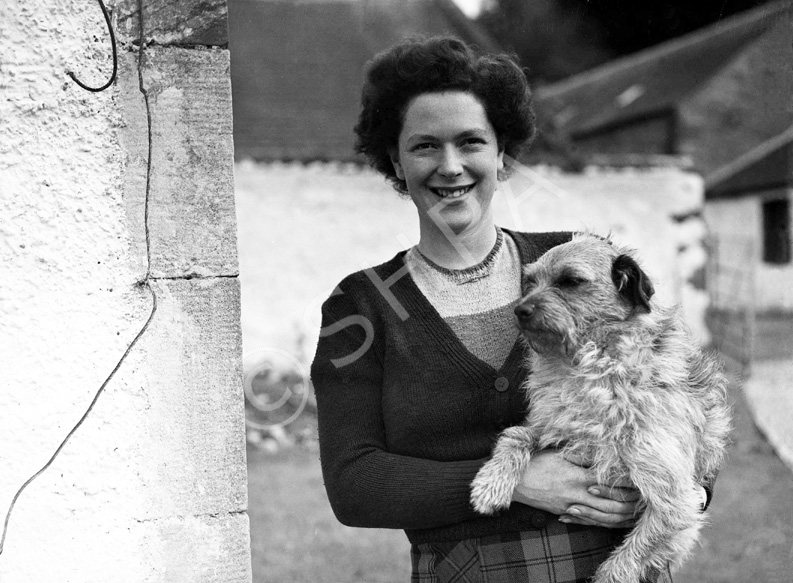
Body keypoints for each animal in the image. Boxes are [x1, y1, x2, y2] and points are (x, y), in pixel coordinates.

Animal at [470, 234, 732, 583]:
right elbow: (516, 434)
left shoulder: (675, 501)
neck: (595, 365)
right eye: (529, 282)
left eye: (570, 281)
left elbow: (623, 561)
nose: (519, 310)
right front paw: (490, 483)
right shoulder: (556, 425)